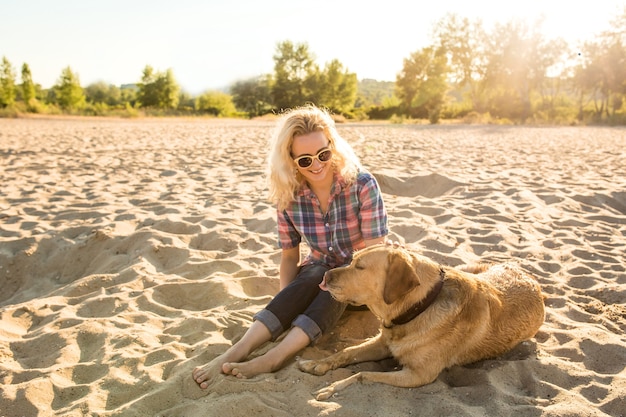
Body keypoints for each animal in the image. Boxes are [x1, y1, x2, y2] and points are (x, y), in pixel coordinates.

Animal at [298, 244, 540, 400]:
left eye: (360, 267)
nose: (325, 276)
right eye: (352, 260)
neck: (419, 306)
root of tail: (531, 278)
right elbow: (346, 352)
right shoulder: (383, 343)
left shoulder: (418, 375)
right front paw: (316, 363)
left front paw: (331, 388)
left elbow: (362, 374)